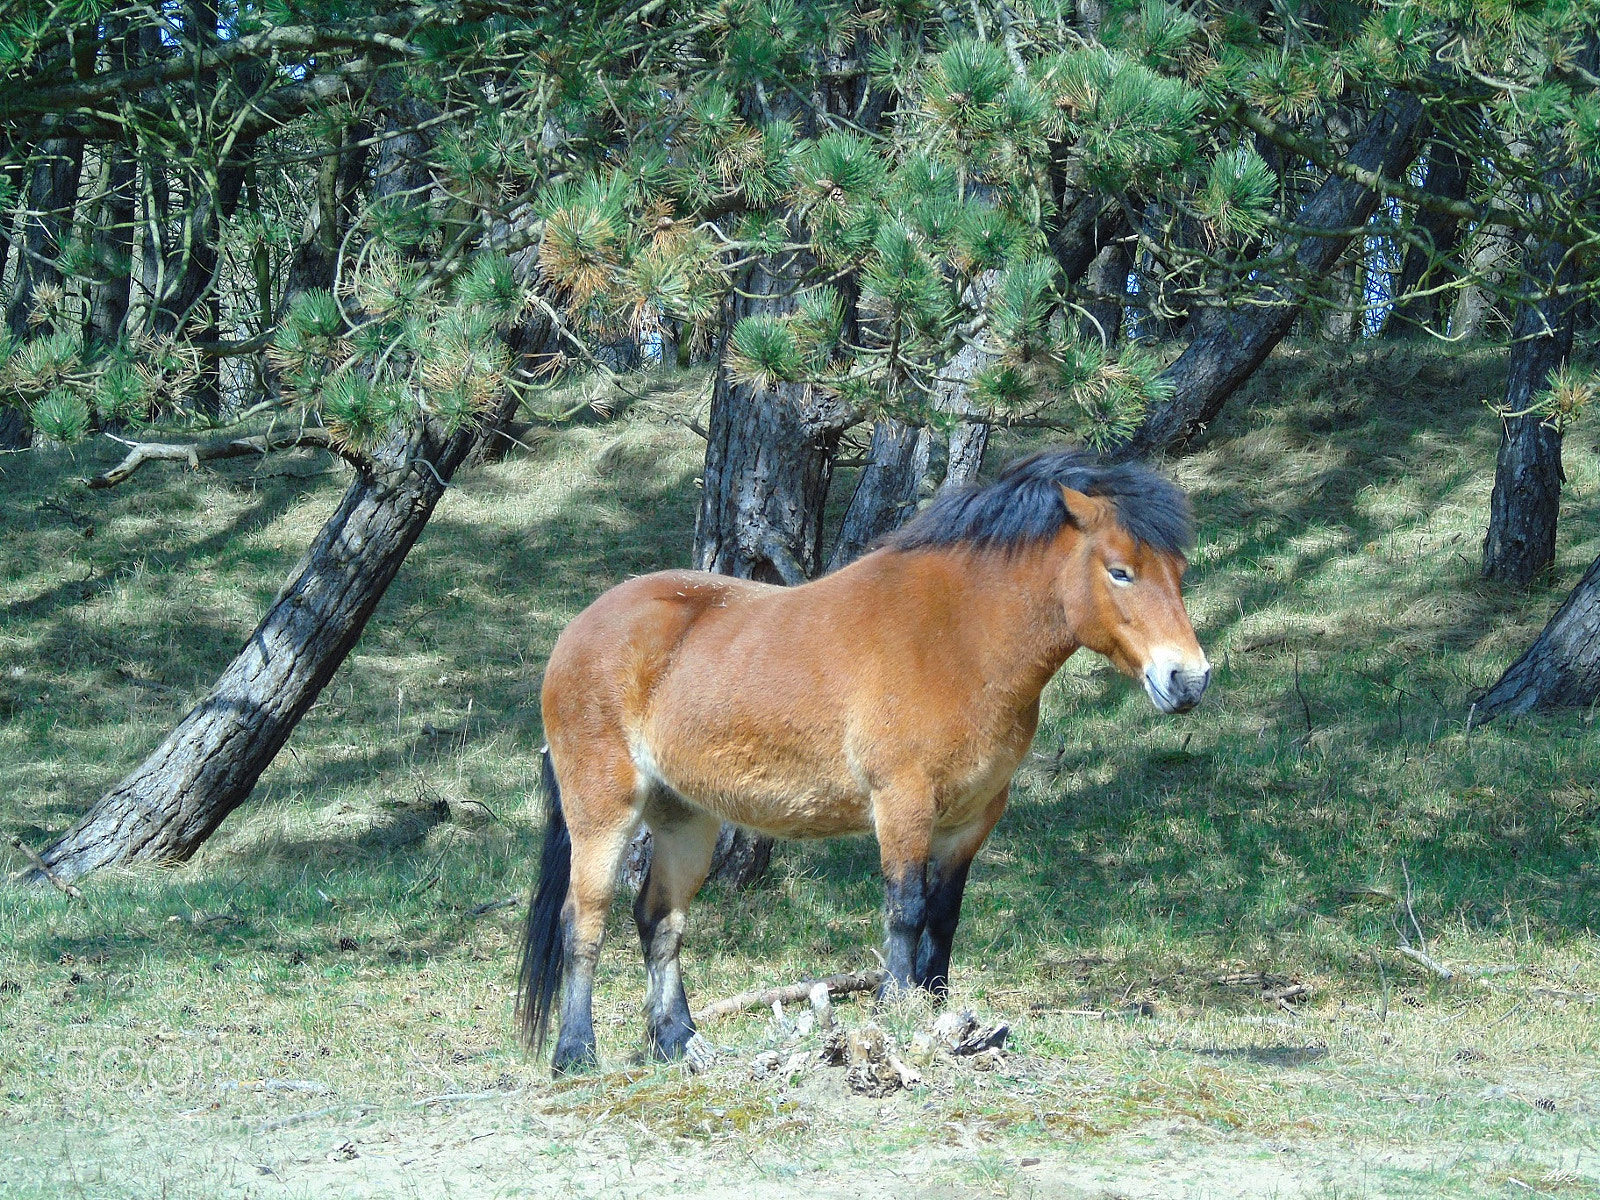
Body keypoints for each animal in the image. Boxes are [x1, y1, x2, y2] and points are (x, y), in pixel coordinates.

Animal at [518, 448, 1210, 1073]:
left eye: (1178, 569)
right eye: (1120, 571)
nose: (1190, 679)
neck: (957, 638)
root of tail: (574, 633)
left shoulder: (971, 819)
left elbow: (943, 916)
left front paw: (941, 1015)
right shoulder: (903, 801)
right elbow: (904, 910)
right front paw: (898, 1010)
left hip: (685, 818)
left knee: (659, 920)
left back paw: (680, 1043)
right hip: (603, 812)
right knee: (584, 920)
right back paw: (574, 1054)